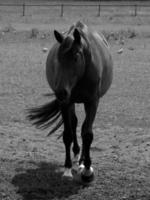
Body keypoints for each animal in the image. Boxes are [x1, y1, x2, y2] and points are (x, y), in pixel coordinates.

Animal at [27, 21, 113, 183]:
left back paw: (82, 162)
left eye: (76, 57)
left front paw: (87, 170)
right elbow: (67, 134)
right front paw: (67, 169)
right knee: (74, 124)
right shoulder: (65, 102)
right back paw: (76, 156)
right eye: (58, 58)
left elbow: (87, 134)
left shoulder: (92, 102)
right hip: (70, 102)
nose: (61, 92)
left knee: (83, 128)